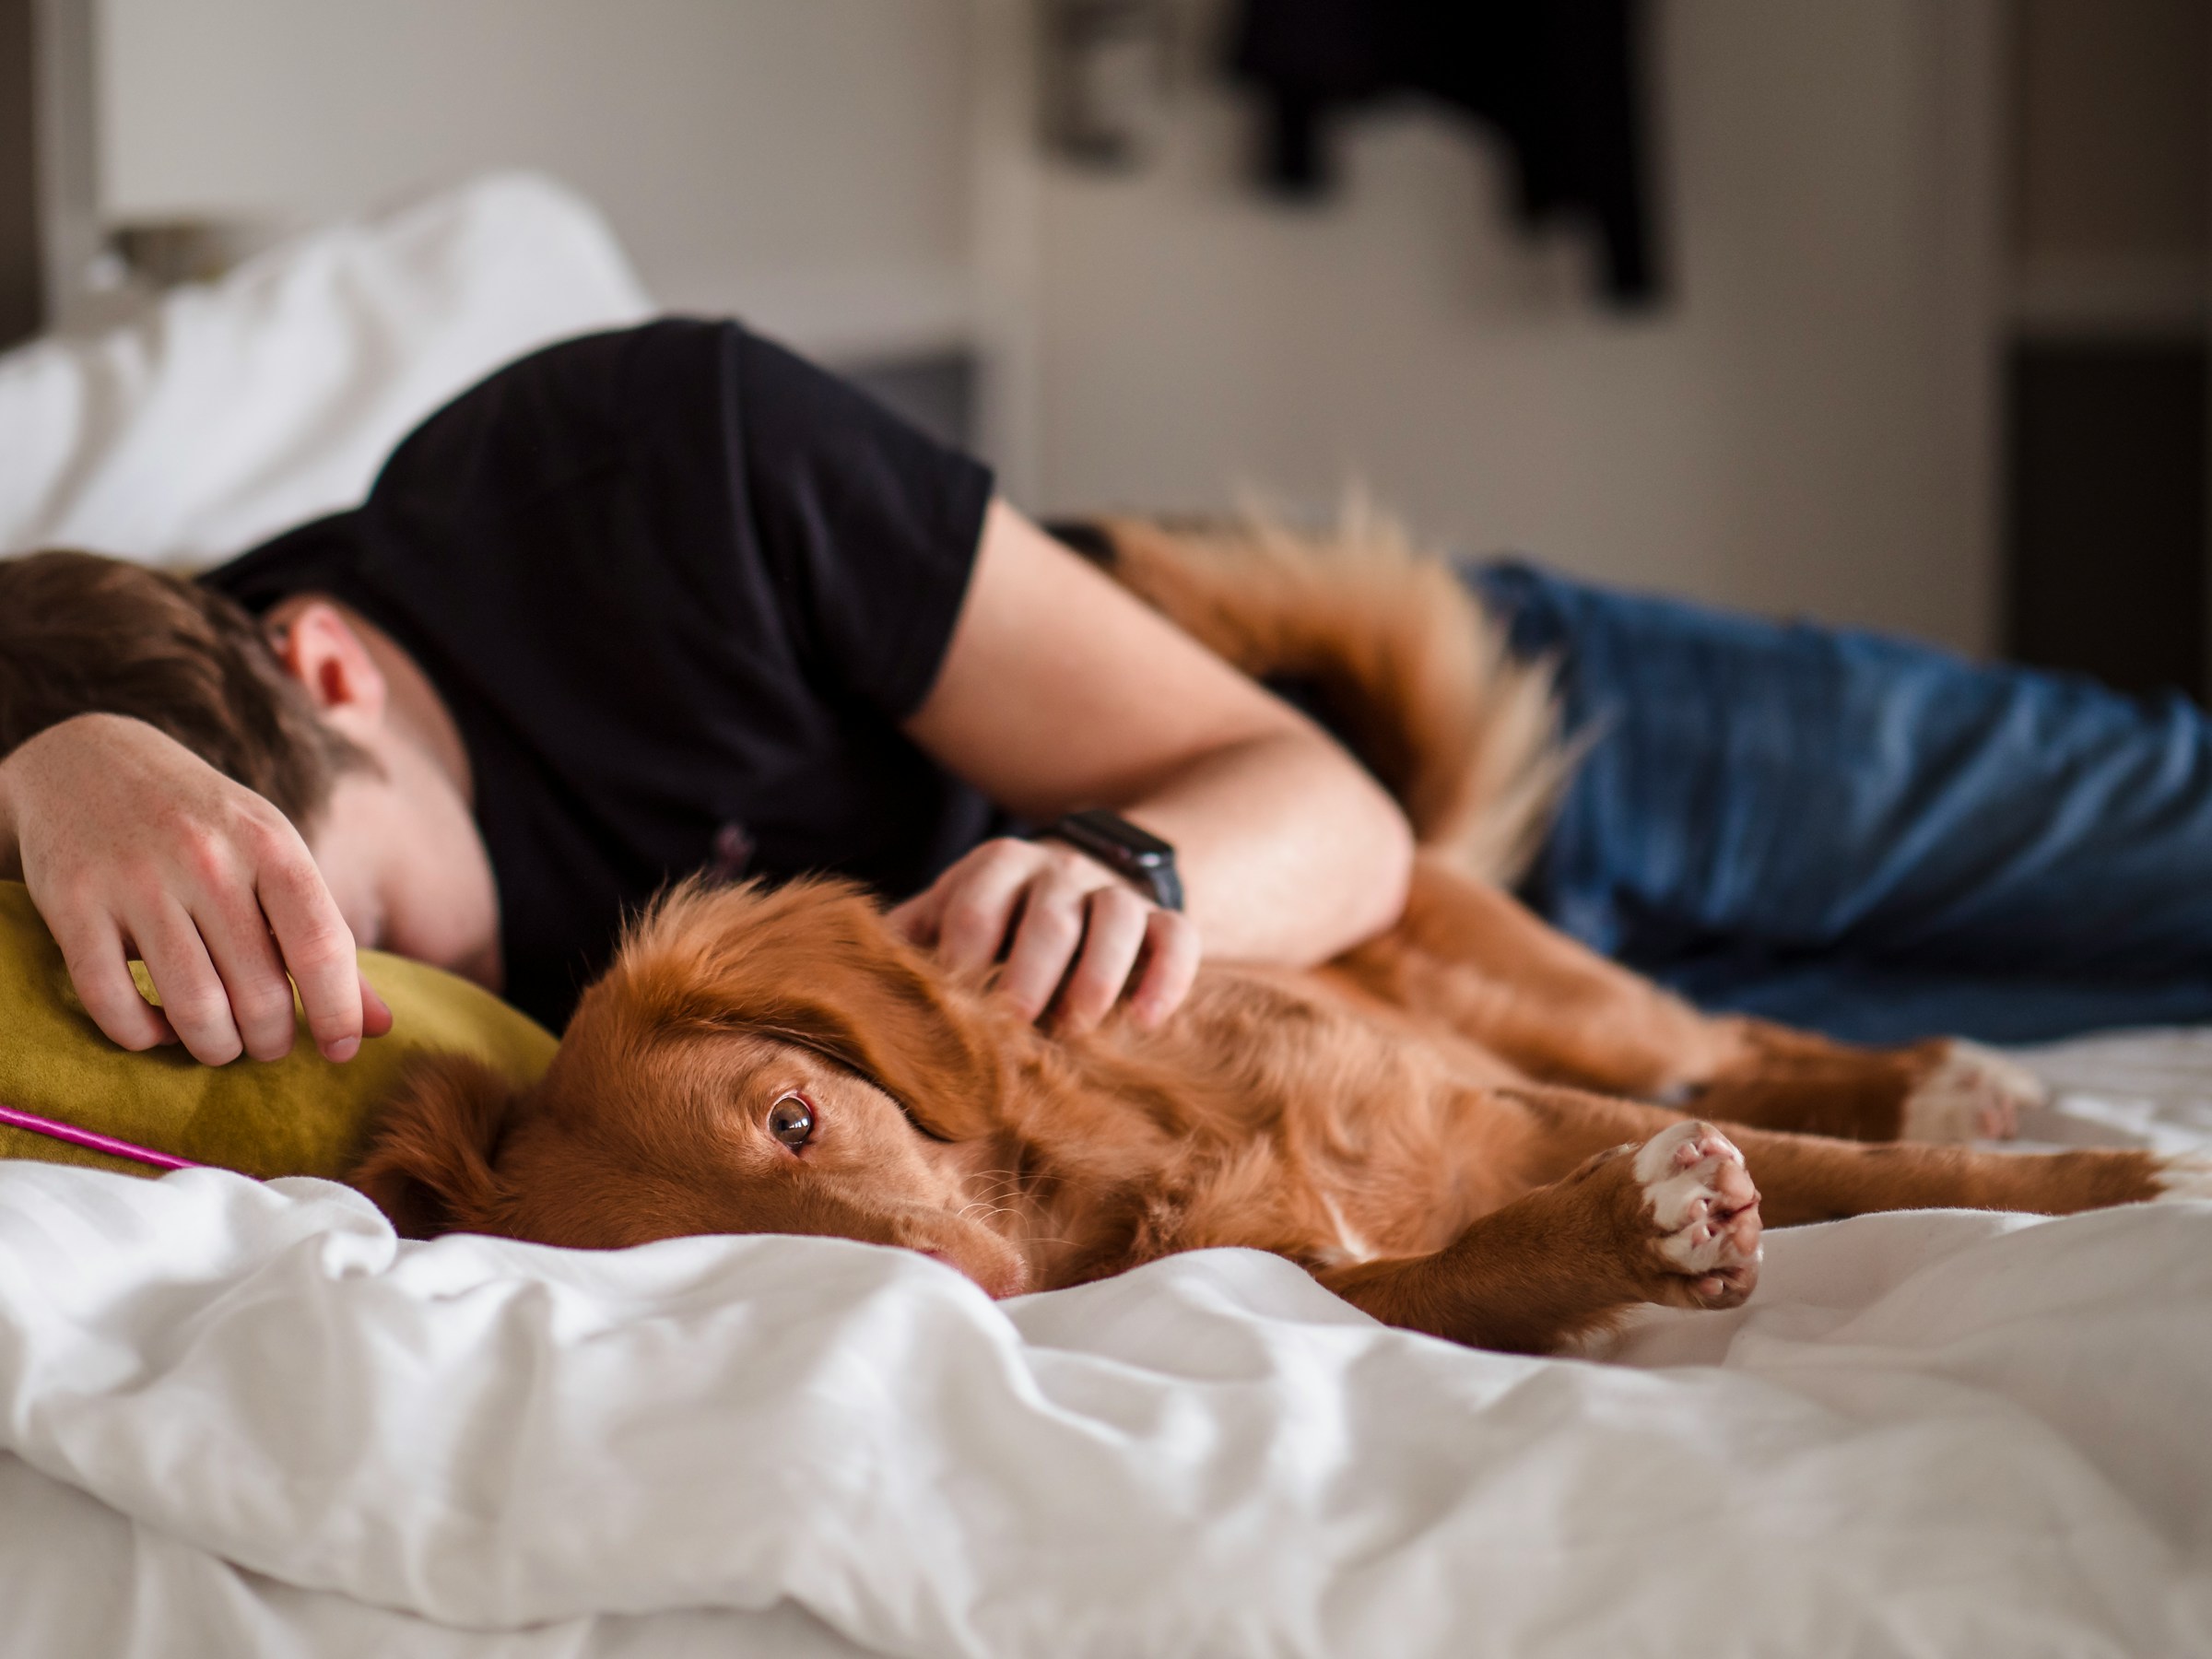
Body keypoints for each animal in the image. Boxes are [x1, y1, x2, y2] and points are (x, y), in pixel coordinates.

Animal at [354, 522, 2203, 1362]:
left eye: (798, 1118)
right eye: (728, 1266)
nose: (978, 1294)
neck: (1117, 1165)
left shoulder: (1502, 1104)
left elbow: (1874, 1176)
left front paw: (2129, 1181)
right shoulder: (1324, 1282)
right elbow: (1481, 1262)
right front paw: (1635, 1235)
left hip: (1561, 1002)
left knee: (1730, 1041)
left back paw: (1944, 1078)